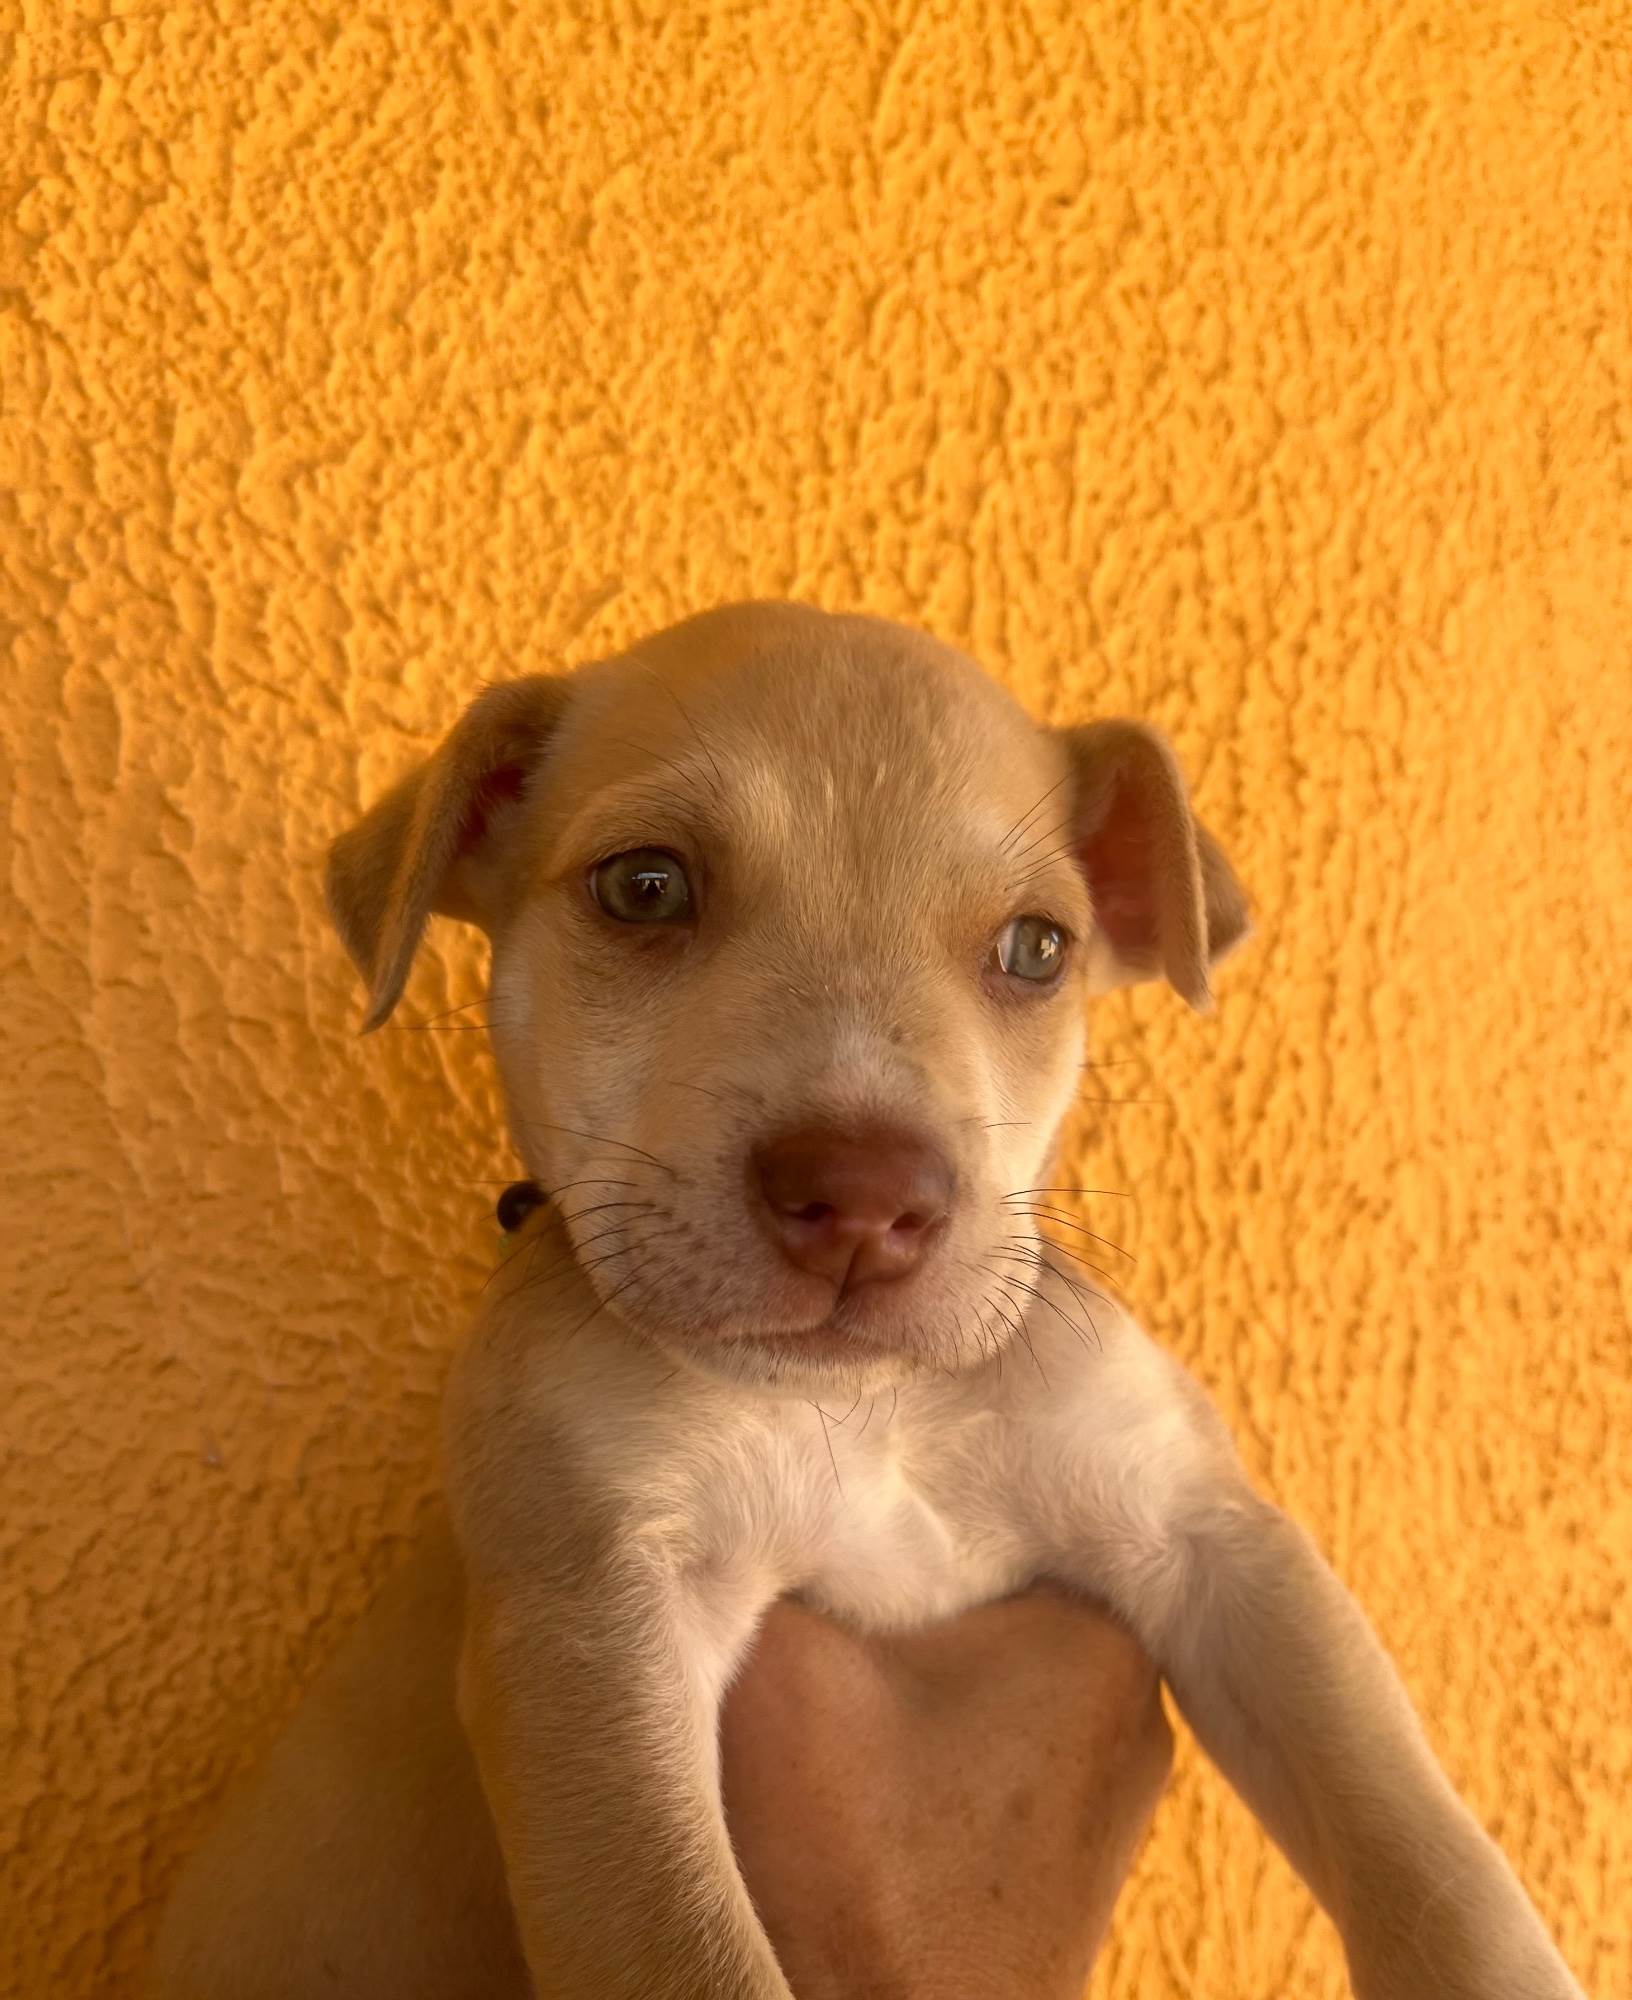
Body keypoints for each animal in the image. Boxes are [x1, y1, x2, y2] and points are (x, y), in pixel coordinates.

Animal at [150, 600, 1584, 1992]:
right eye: (644, 886)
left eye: (1037, 947)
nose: (864, 1198)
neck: (873, 1413)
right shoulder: (592, 1635)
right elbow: (689, 1953)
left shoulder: (1214, 1539)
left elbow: (1421, 1841)